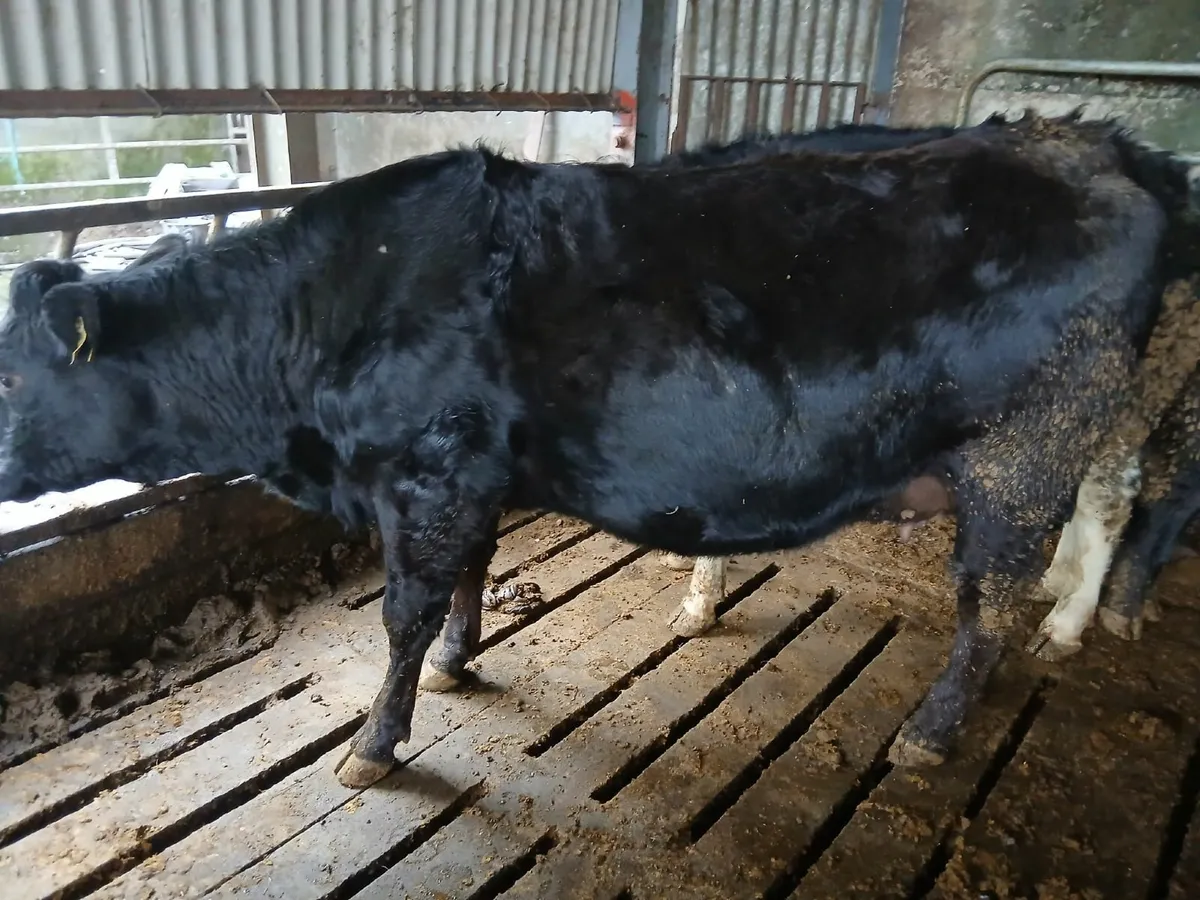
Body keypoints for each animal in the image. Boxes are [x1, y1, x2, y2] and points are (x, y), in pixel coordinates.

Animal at [1, 112, 1195, 791]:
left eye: (12, 378)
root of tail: (1099, 147)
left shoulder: (427, 473)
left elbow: (401, 613)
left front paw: (375, 744)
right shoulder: (472, 474)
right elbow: (469, 577)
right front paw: (460, 659)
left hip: (1026, 447)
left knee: (992, 600)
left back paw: (940, 728)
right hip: (1084, 427)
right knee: (1096, 519)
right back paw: (1071, 622)